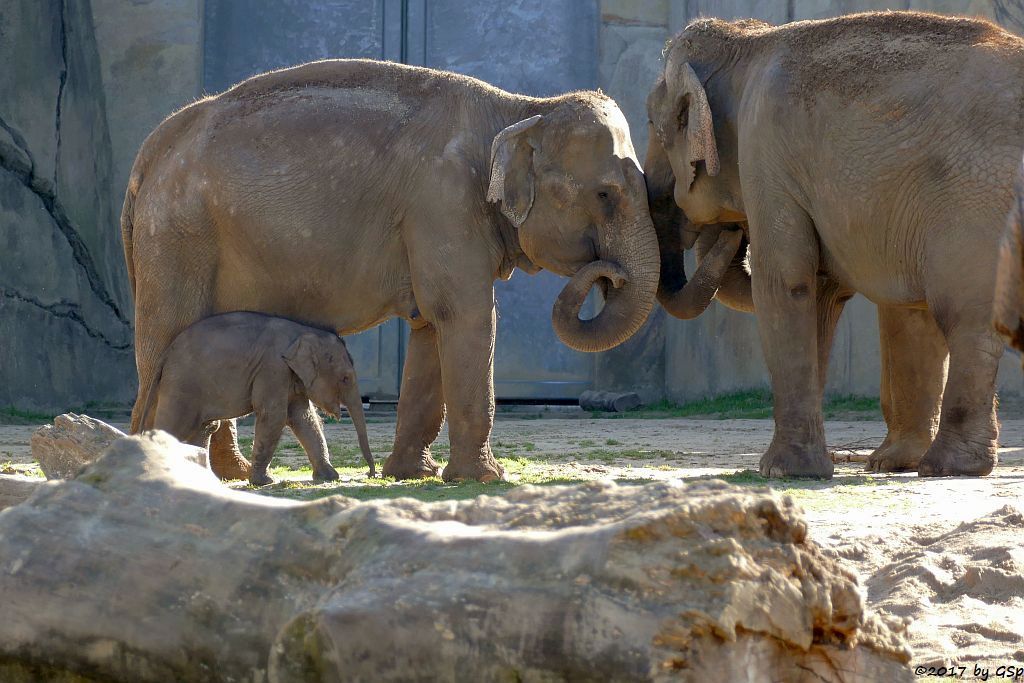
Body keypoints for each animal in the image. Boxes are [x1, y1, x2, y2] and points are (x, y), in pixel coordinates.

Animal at [138, 313, 374, 489]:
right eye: (345, 378)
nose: (370, 474)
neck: (303, 332)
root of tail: (165, 354)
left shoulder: (289, 376)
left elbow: (303, 418)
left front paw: (330, 477)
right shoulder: (272, 369)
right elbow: (274, 416)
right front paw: (266, 481)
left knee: (203, 428)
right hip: (182, 384)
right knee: (174, 425)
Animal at [643, 12, 1019, 481]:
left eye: (650, 125)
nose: (731, 232)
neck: (746, 42)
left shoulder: (765, 153)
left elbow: (785, 284)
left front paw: (781, 472)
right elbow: (843, 296)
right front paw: (876, 465)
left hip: (976, 200)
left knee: (965, 316)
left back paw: (947, 467)